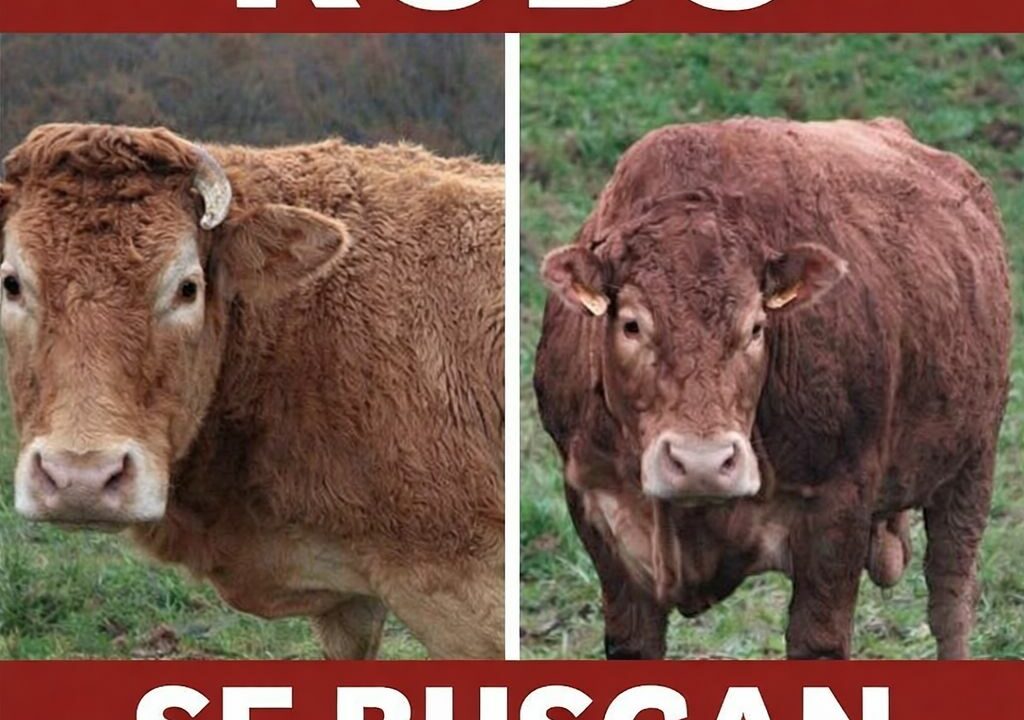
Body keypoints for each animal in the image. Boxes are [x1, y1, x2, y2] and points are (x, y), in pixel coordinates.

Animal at [534, 117, 1011, 659]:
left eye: (757, 326)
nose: (702, 464)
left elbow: (817, 640)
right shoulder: (598, 512)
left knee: (951, 598)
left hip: (973, 464)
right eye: (632, 324)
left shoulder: (837, 510)